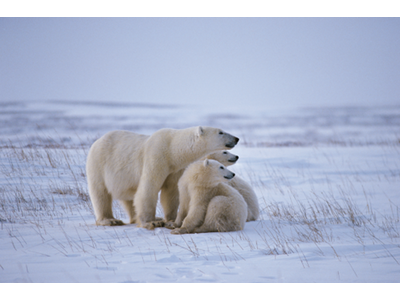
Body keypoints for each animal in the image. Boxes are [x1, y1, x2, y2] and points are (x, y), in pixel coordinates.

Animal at [86, 126, 239, 230]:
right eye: (220, 132)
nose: (236, 138)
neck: (172, 149)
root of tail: (97, 141)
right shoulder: (156, 156)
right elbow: (149, 187)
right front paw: (152, 222)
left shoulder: (175, 168)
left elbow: (170, 192)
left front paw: (170, 220)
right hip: (98, 164)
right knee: (100, 193)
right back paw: (110, 220)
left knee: (128, 197)